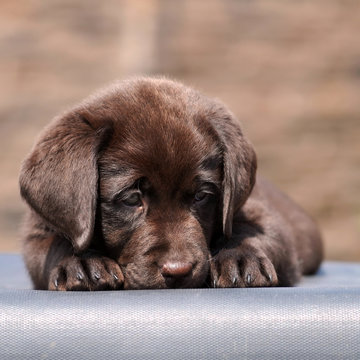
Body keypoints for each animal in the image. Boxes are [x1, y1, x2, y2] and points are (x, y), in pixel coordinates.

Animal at [19, 77, 324, 292]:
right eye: (132, 199)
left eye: (201, 196)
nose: (178, 271)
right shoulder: (37, 232)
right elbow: (53, 246)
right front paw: (81, 262)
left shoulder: (263, 216)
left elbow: (254, 232)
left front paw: (239, 257)